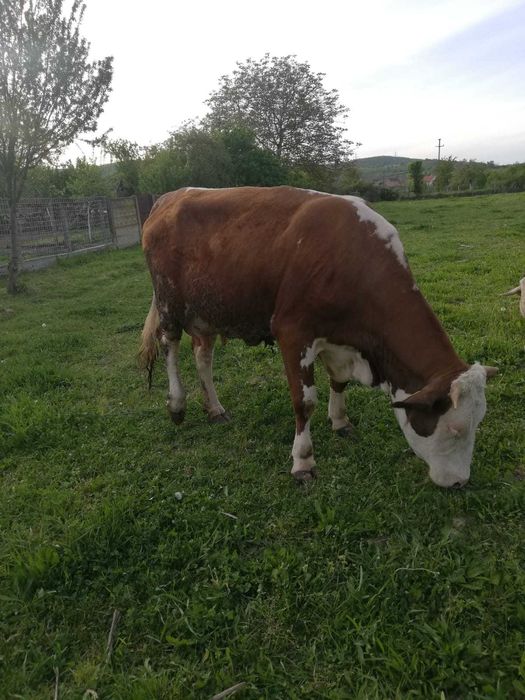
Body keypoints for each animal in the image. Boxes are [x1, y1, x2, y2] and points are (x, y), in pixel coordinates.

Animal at [139, 186, 497, 488]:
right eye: (454, 428)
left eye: (479, 421)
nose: (460, 482)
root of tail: (170, 197)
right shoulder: (292, 333)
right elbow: (304, 402)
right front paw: (303, 461)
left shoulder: (339, 339)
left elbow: (339, 381)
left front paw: (340, 422)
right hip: (169, 303)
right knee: (170, 345)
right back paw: (177, 404)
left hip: (208, 311)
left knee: (203, 357)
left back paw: (214, 408)